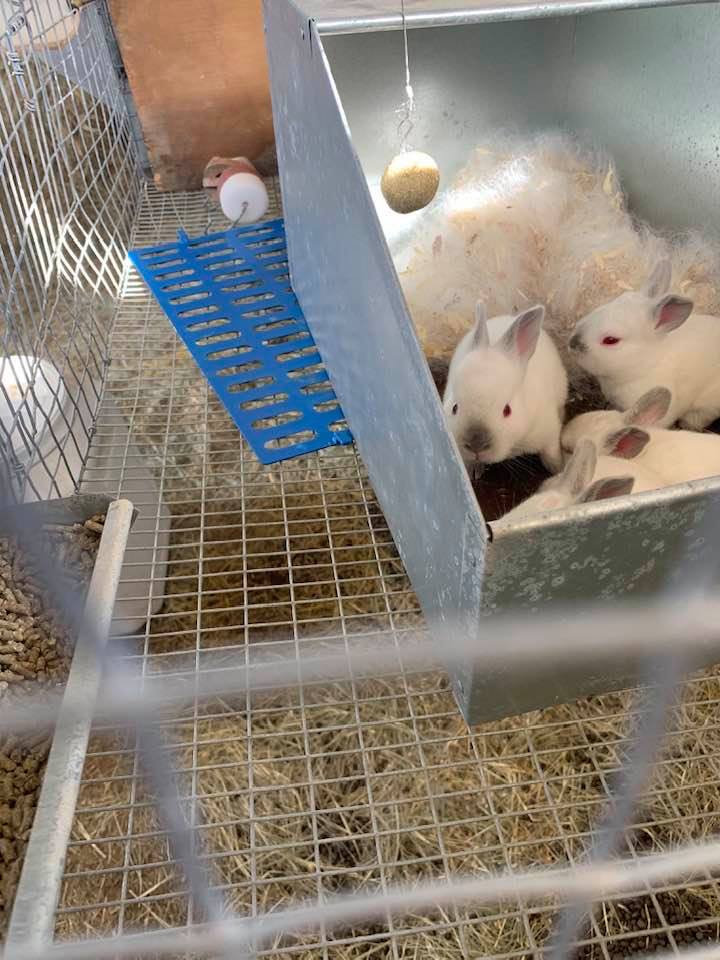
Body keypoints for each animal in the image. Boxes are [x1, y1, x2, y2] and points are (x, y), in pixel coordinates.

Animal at [443, 301, 568, 473]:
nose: (476, 445)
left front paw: (559, 469)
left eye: (507, 410)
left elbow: (551, 453)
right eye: (454, 408)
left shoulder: (549, 431)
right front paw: (474, 471)